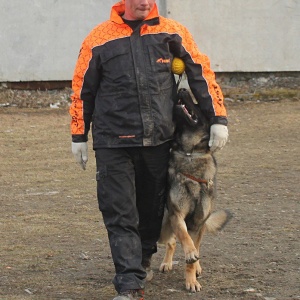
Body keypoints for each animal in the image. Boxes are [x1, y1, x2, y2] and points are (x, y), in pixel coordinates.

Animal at [159, 88, 232, 292]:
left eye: (198, 104)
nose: (182, 89)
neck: (189, 153)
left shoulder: (198, 222)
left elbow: (193, 251)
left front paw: (191, 279)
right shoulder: (177, 216)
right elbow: (185, 239)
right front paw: (189, 253)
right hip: (162, 228)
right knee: (171, 242)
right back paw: (167, 262)